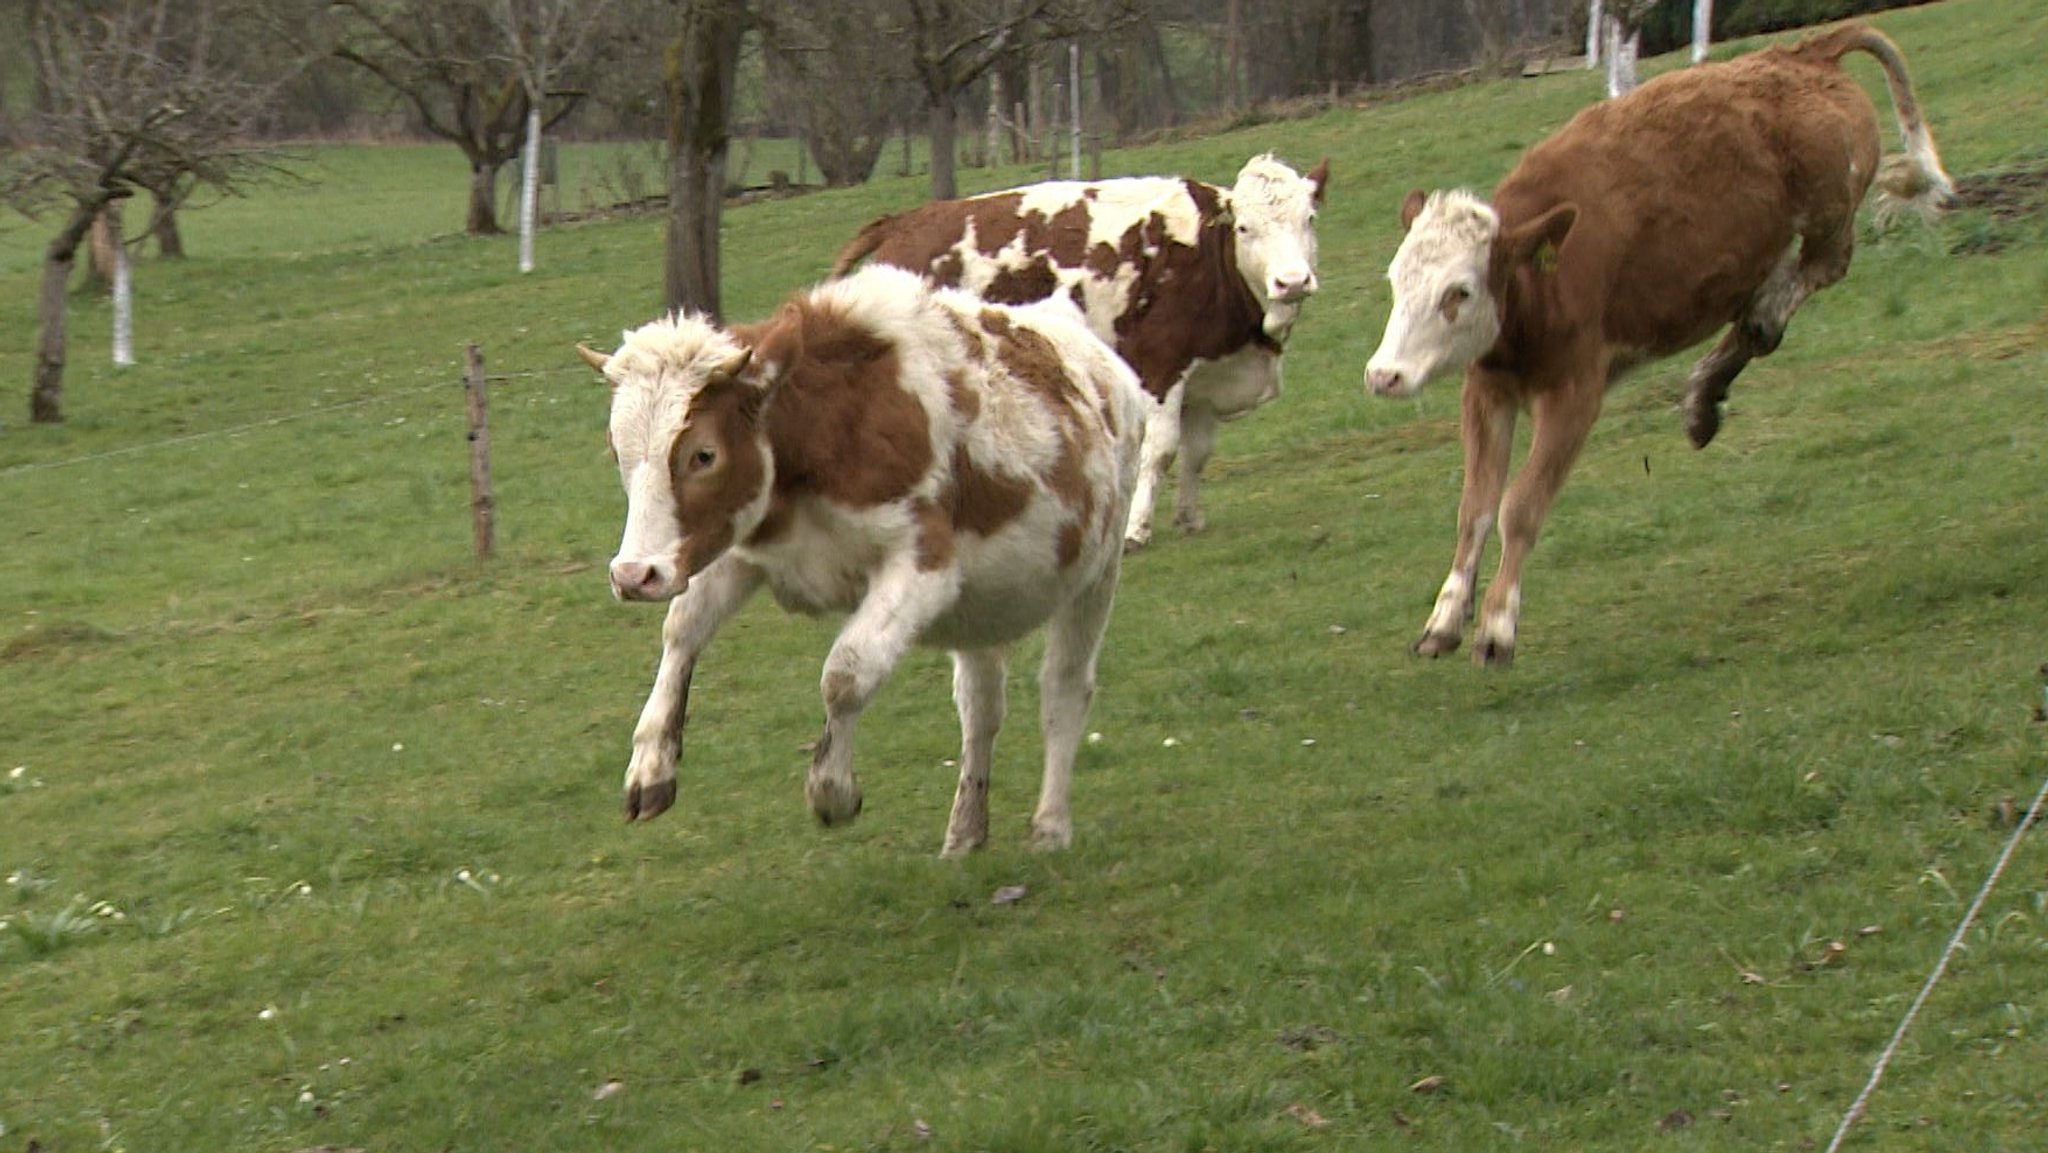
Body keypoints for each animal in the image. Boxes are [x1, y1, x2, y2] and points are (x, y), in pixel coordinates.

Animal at [577, 262, 1155, 856]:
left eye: (704, 454)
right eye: (618, 451)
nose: (634, 575)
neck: (823, 430)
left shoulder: (924, 567)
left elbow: (845, 674)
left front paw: (832, 789)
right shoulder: (738, 547)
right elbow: (682, 632)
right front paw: (651, 766)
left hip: (1096, 576)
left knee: (1064, 690)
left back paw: (1050, 827)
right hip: (981, 612)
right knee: (980, 708)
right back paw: (965, 831)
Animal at [831, 154, 1327, 548]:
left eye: (1309, 219)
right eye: (1246, 227)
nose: (1292, 282)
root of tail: (903, 222)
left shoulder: (1205, 373)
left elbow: (1196, 452)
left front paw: (1190, 517)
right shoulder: (1161, 368)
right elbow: (1161, 449)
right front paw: (1137, 530)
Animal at [1359, 22, 1949, 667]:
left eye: (1460, 292)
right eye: (1396, 279)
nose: (1384, 374)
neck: (1540, 283)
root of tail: (1804, 54)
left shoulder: (1574, 395)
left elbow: (1521, 506)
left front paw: (1496, 625)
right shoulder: (1487, 390)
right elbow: (1475, 509)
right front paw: (1445, 617)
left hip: (1828, 212)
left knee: (1817, 271)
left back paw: (1754, 324)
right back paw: (1706, 392)